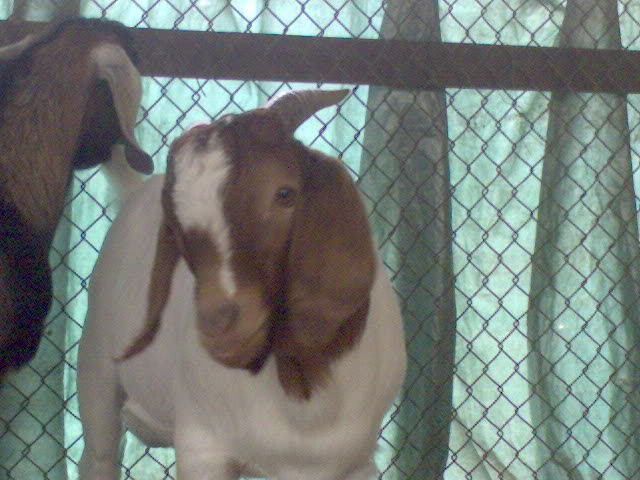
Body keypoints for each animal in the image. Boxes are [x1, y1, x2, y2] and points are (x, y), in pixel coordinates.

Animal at [77, 89, 406, 480]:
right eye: (174, 223)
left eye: (284, 193)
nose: (220, 325)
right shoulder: (202, 447)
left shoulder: (357, 463)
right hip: (96, 368)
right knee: (99, 452)